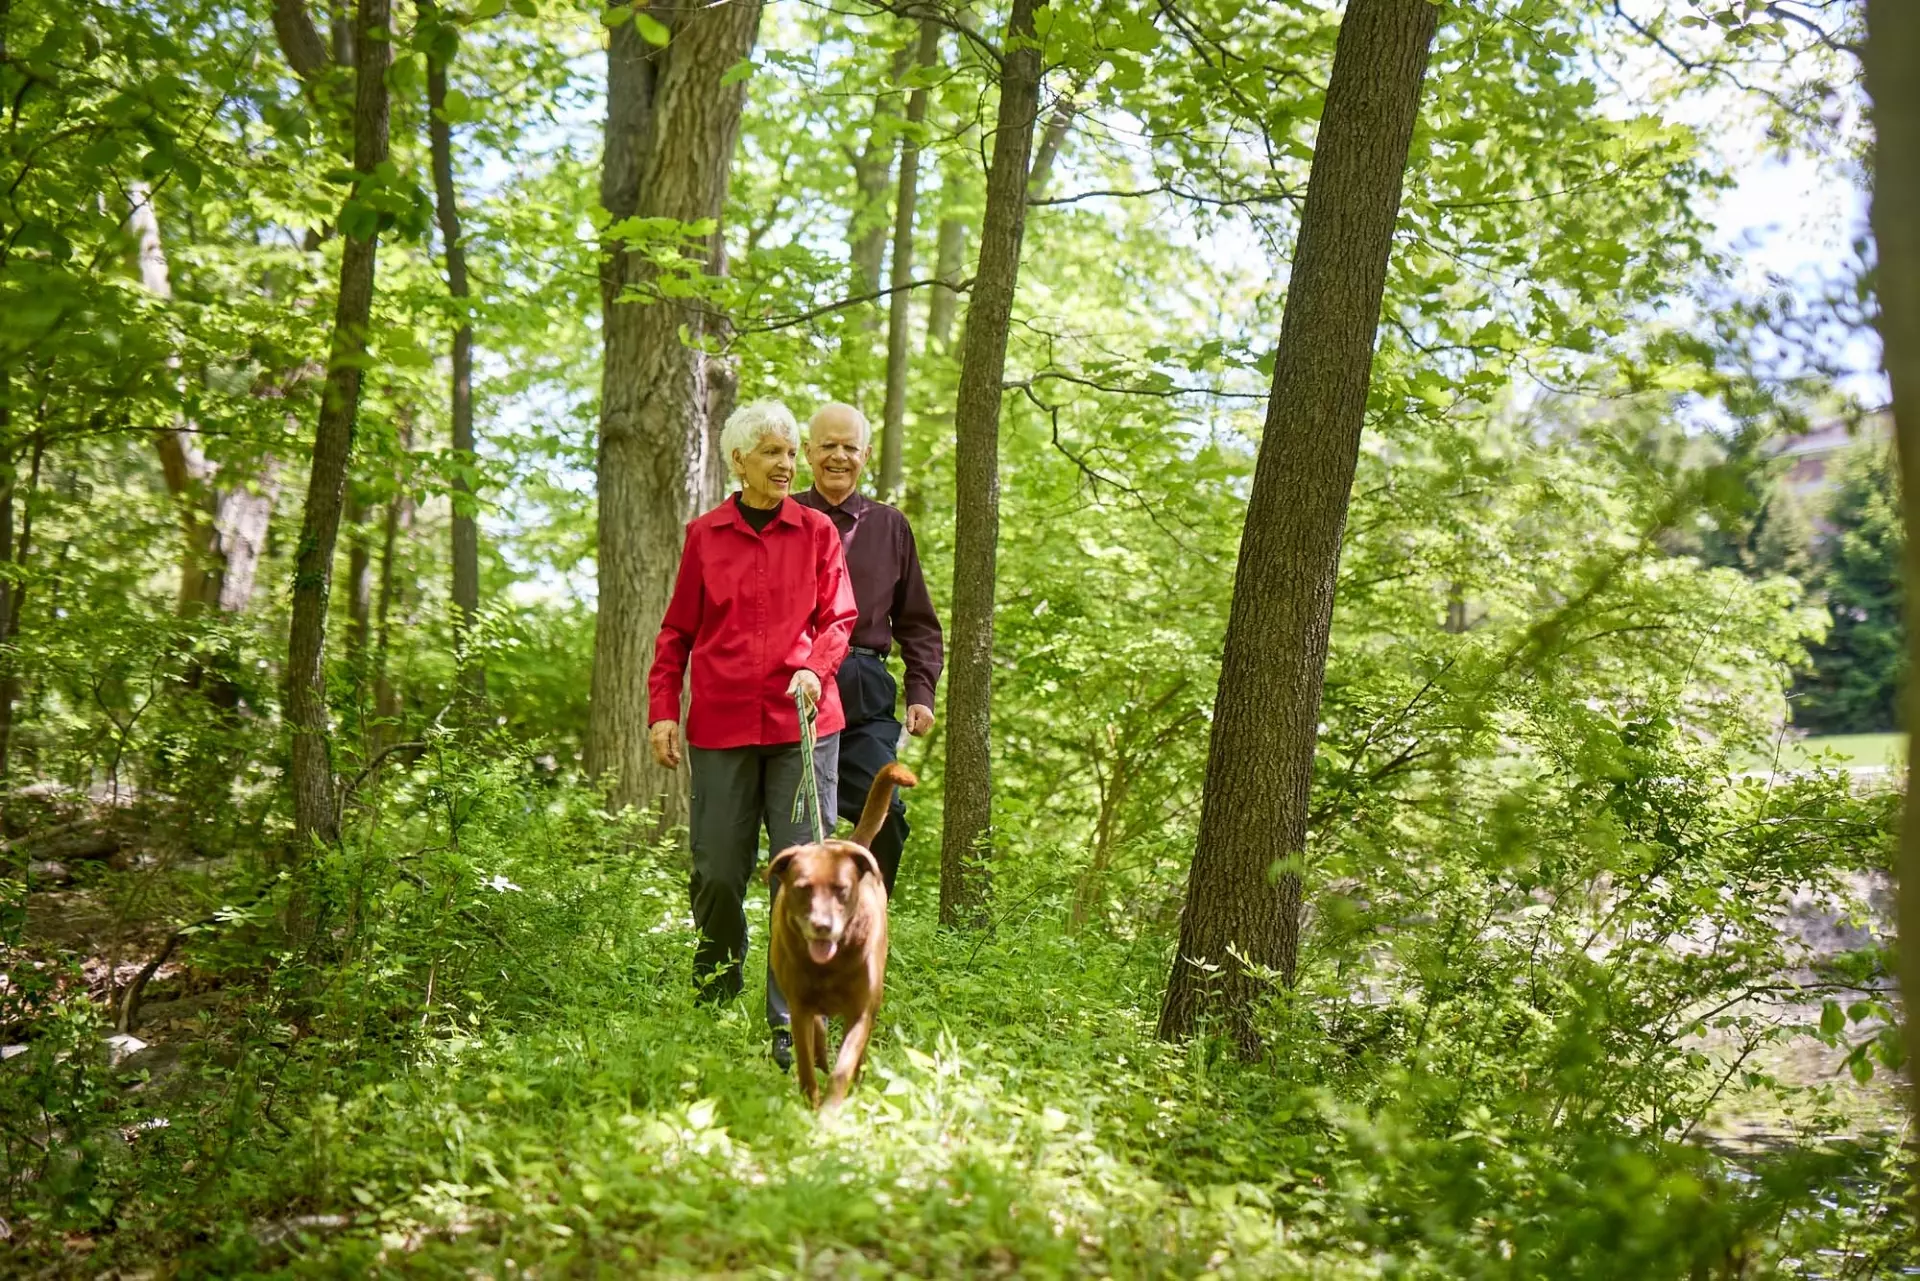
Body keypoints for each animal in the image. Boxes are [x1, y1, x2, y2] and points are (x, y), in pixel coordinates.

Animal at [764, 760, 913, 1113]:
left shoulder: (860, 1010)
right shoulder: (799, 1006)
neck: (828, 966)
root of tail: (850, 843)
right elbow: (806, 1061)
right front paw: (811, 1101)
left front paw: (831, 1110)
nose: (822, 926)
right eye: (803, 888)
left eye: (841, 889)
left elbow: (844, 1067)